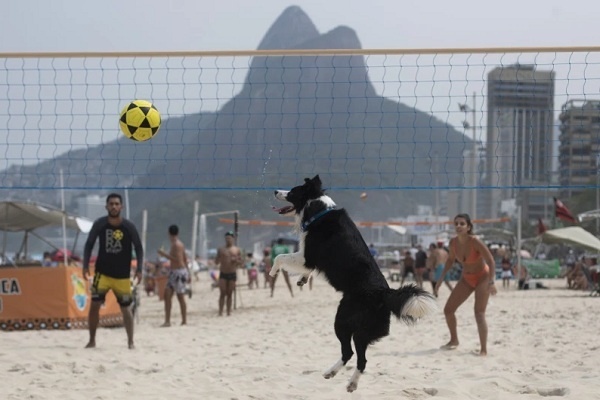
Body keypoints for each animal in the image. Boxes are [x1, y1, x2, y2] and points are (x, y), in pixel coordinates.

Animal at [270, 176, 436, 394]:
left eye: (292, 191)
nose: (275, 191)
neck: (318, 209)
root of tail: (385, 293)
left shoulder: (308, 256)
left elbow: (281, 257)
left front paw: (273, 271)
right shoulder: (310, 260)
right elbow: (306, 269)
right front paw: (302, 279)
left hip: (344, 322)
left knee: (354, 354)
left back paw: (348, 381)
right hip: (363, 329)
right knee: (355, 356)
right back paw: (336, 375)